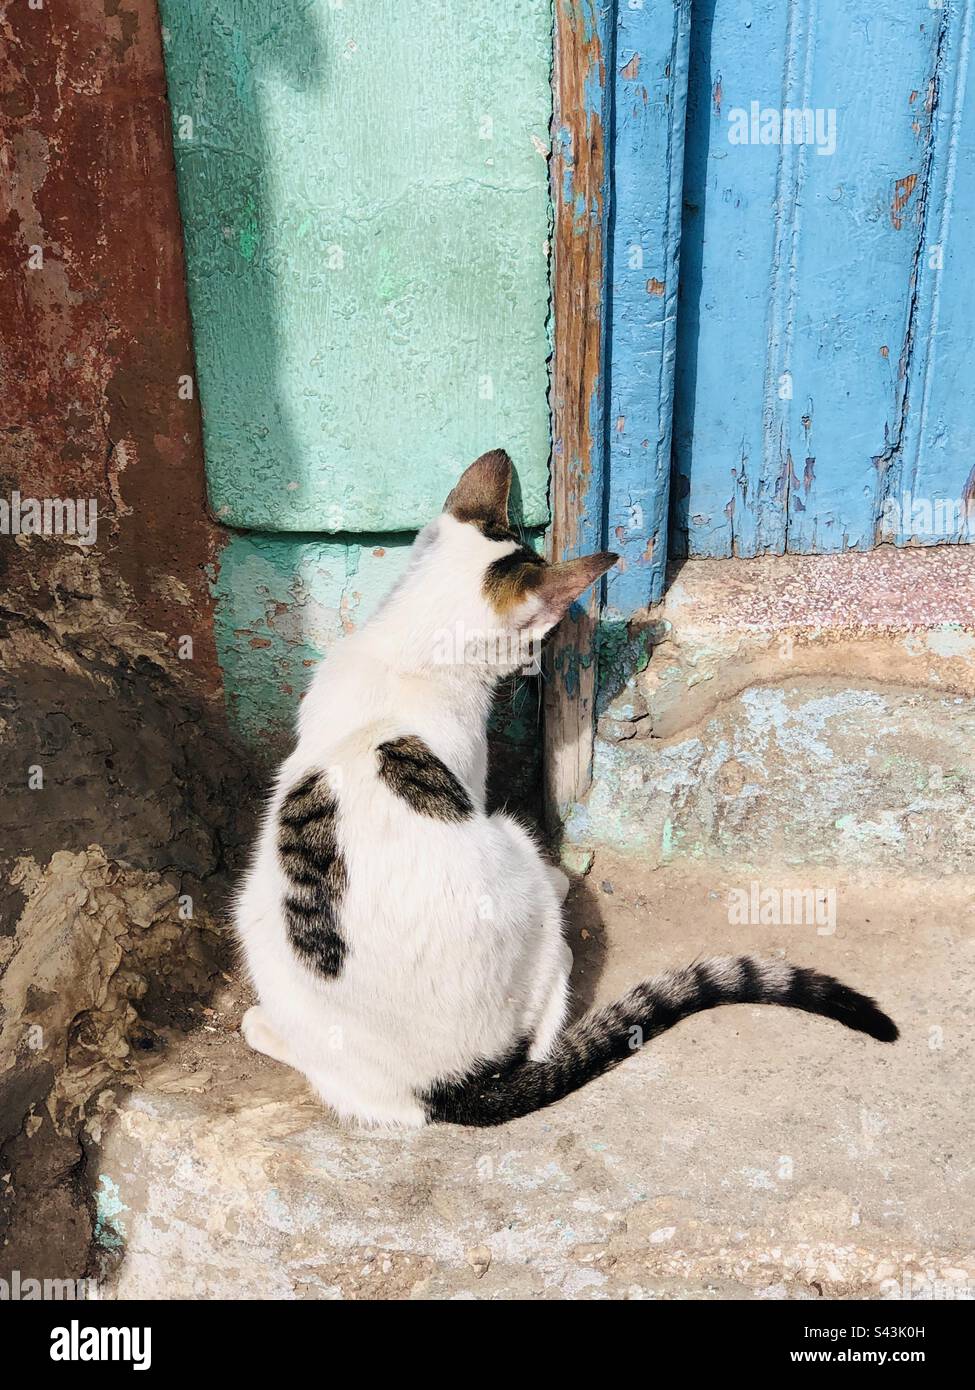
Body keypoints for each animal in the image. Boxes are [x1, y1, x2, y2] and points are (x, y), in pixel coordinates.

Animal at [229, 450, 895, 1123]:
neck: (406, 650)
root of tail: (449, 1084)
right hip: (512, 851)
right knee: (548, 1012)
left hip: (254, 910)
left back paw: (263, 1027)